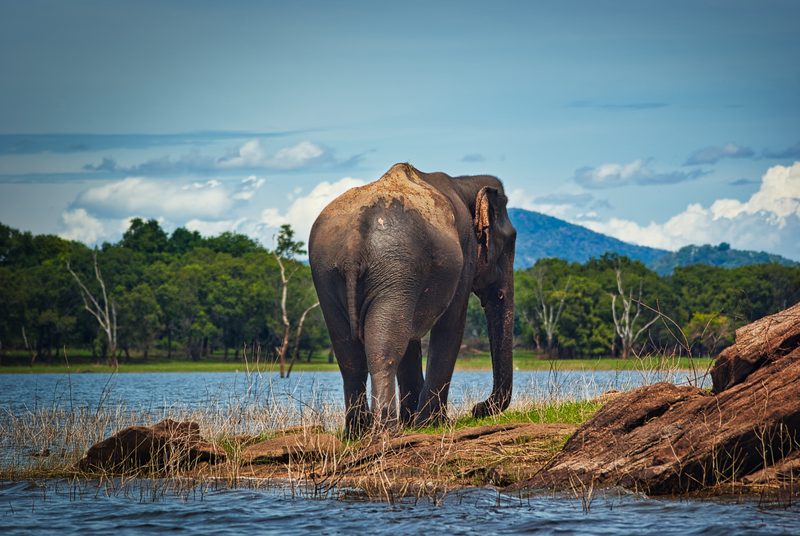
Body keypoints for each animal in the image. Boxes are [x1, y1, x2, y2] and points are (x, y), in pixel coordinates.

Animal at [309, 162, 516, 436]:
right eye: (510, 242)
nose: (477, 408)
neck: (464, 182)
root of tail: (354, 239)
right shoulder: (466, 255)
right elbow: (451, 326)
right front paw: (433, 424)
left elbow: (411, 338)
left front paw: (415, 423)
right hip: (393, 267)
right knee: (384, 348)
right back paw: (386, 431)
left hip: (327, 274)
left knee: (350, 357)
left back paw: (357, 433)